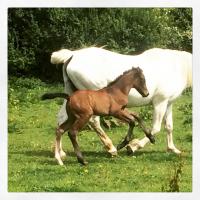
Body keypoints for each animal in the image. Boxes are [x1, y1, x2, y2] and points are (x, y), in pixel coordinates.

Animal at [50, 46, 191, 156]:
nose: (146, 93)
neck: (176, 67)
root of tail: (72, 55)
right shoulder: (160, 103)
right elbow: (156, 128)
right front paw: (133, 147)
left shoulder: (168, 103)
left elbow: (169, 127)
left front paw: (173, 149)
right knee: (94, 121)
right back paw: (111, 148)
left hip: (70, 96)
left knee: (61, 119)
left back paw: (60, 153)